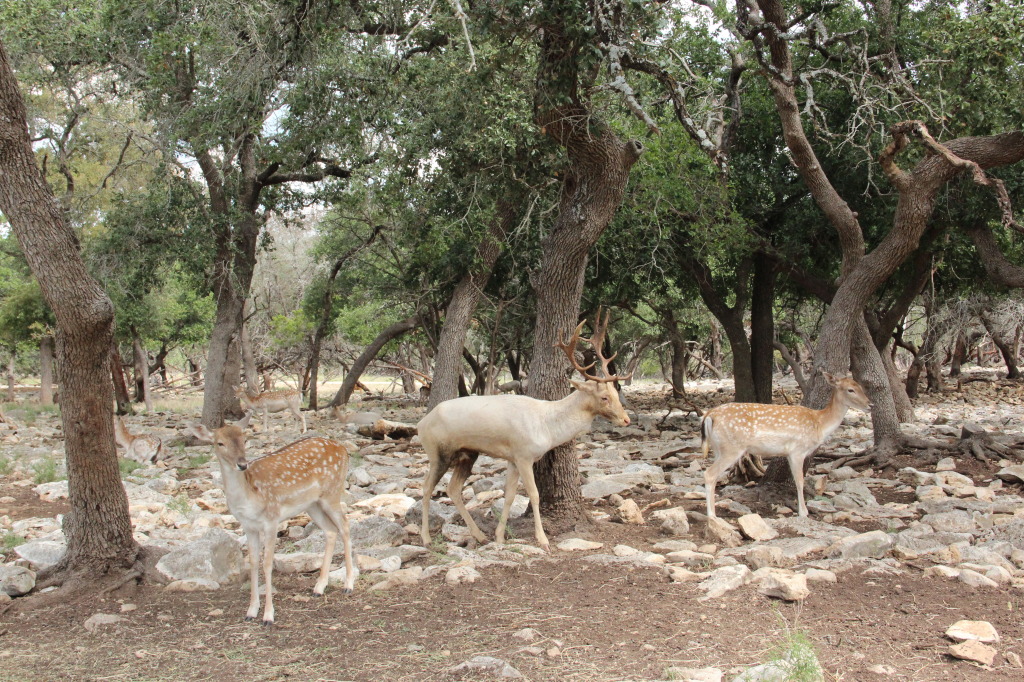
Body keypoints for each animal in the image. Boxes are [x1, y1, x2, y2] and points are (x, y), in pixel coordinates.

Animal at [186, 413, 358, 622]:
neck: (248, 496)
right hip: (312, 504)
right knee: (331, 530)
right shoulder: (248, 525)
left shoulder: (271, 519)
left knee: (345, 525)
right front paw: (251, 611)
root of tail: (343, 448)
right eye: (220, 443)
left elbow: (267, 564)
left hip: (332, 493)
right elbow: (252, 563)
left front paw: (268, 615)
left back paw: (348, 585)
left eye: (244, 439)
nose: (242, 464)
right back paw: (319, 587)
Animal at [417, 307, 630, 548]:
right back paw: (426, 538)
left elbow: (509, 494)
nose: (626, 420)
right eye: (604, 397)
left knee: (453, 489)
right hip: (438, 452)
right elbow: (534, 494)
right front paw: (543, 539)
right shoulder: (524, 455)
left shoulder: (512, 458)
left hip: (468, 453)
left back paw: (479, 535)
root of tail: (420, 424)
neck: (547, 426)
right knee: (426, 487)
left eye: (616, 393)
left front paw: (499, 537)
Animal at [704, 372, 872, 516]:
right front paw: (803, 512)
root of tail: (709, 416)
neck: (819, 423)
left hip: (718, 448)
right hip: (731, 448)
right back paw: (712, 516)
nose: (870, 405)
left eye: (861, 386)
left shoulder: (789, 454)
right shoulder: (798, 450)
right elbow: (799, 481)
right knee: (709, 474)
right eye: (850, 390)